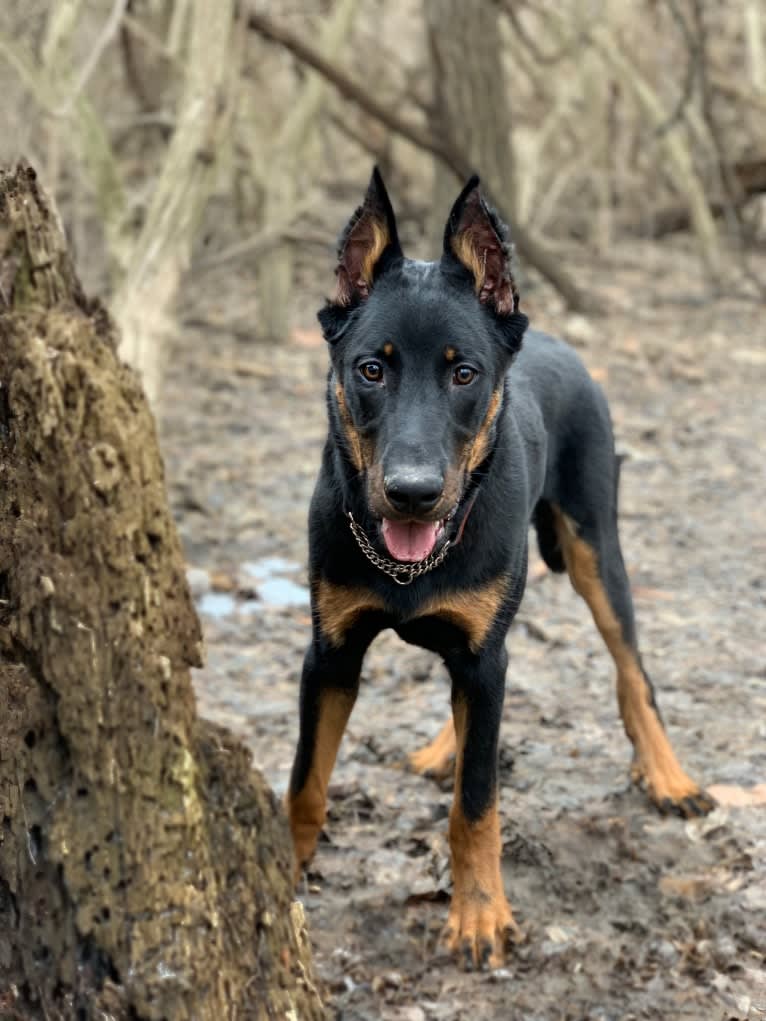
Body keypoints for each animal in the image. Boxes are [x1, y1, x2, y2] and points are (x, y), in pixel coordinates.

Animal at [285, 171, 714, 967]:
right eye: (370, 369)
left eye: (464, 372)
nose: (413, 492)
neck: (410, 564)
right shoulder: (330, 653)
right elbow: (306, 780)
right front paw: (282, 866)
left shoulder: (483, 657)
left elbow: (476, 803)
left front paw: (479, 912)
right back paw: (444, 746)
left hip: (595, 548)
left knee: (632, 671)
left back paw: (668, 776)